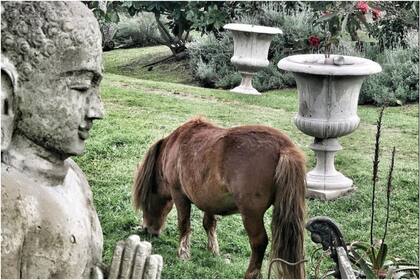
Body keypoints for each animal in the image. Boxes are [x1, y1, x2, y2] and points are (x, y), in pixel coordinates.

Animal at [133, 117, 306, 278]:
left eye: (145, 202)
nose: (147, 230)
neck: (175, 144)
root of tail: (283, 148)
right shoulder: (209, 199)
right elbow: (209, 224)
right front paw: (213, 250)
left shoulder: (179, 194)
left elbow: (184, 224)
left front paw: (183, 254)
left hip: (251, 214)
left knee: (259, 242)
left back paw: (250, 274)